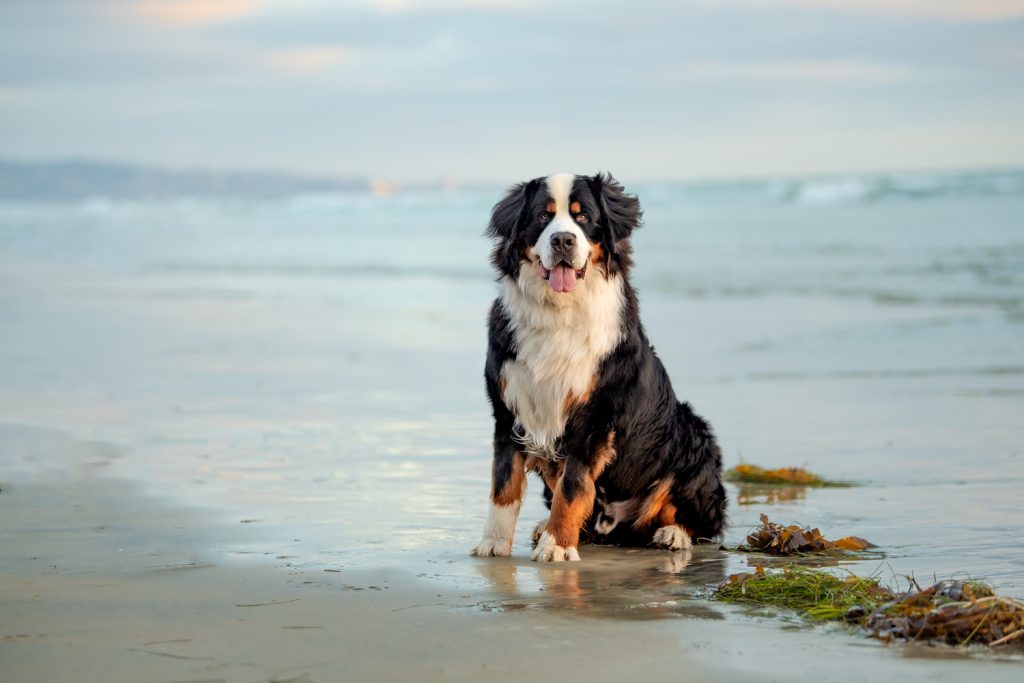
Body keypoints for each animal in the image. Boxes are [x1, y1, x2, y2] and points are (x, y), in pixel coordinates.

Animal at [471, 171, 729, 561]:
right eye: (542, 217)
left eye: (583, 217)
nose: (563, 240)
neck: (558, 314)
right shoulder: (508, 409)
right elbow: (504, 485)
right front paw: (494, 543)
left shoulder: (594, 417)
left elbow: (573, 486)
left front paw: (557, 546)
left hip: (694, 438)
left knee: (699, 521)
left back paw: (673, 534)